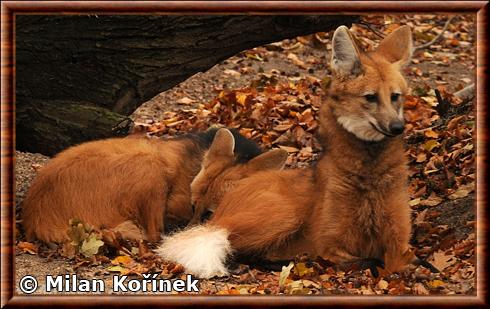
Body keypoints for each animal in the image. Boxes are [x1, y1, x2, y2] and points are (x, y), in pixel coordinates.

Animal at [158, 25, 418, 278]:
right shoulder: (329, 245)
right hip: (284, 213)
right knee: (234, 247)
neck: (370, 173)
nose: (397, 127)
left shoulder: (400, 243)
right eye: (370, 97)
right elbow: (366, 261)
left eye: (395, 97)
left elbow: (406, 264)